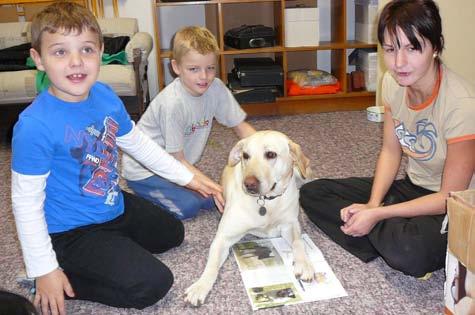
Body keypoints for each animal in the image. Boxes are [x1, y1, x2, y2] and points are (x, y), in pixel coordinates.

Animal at [186, 130, 316, 306]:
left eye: (271, 154)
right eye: (245, 155)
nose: (249, 184)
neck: (266, 201)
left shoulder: (290, 225)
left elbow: (298, 242)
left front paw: (304, 264)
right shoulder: (223, 238)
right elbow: (211, 266)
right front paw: (200, 286)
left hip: (301, 174)